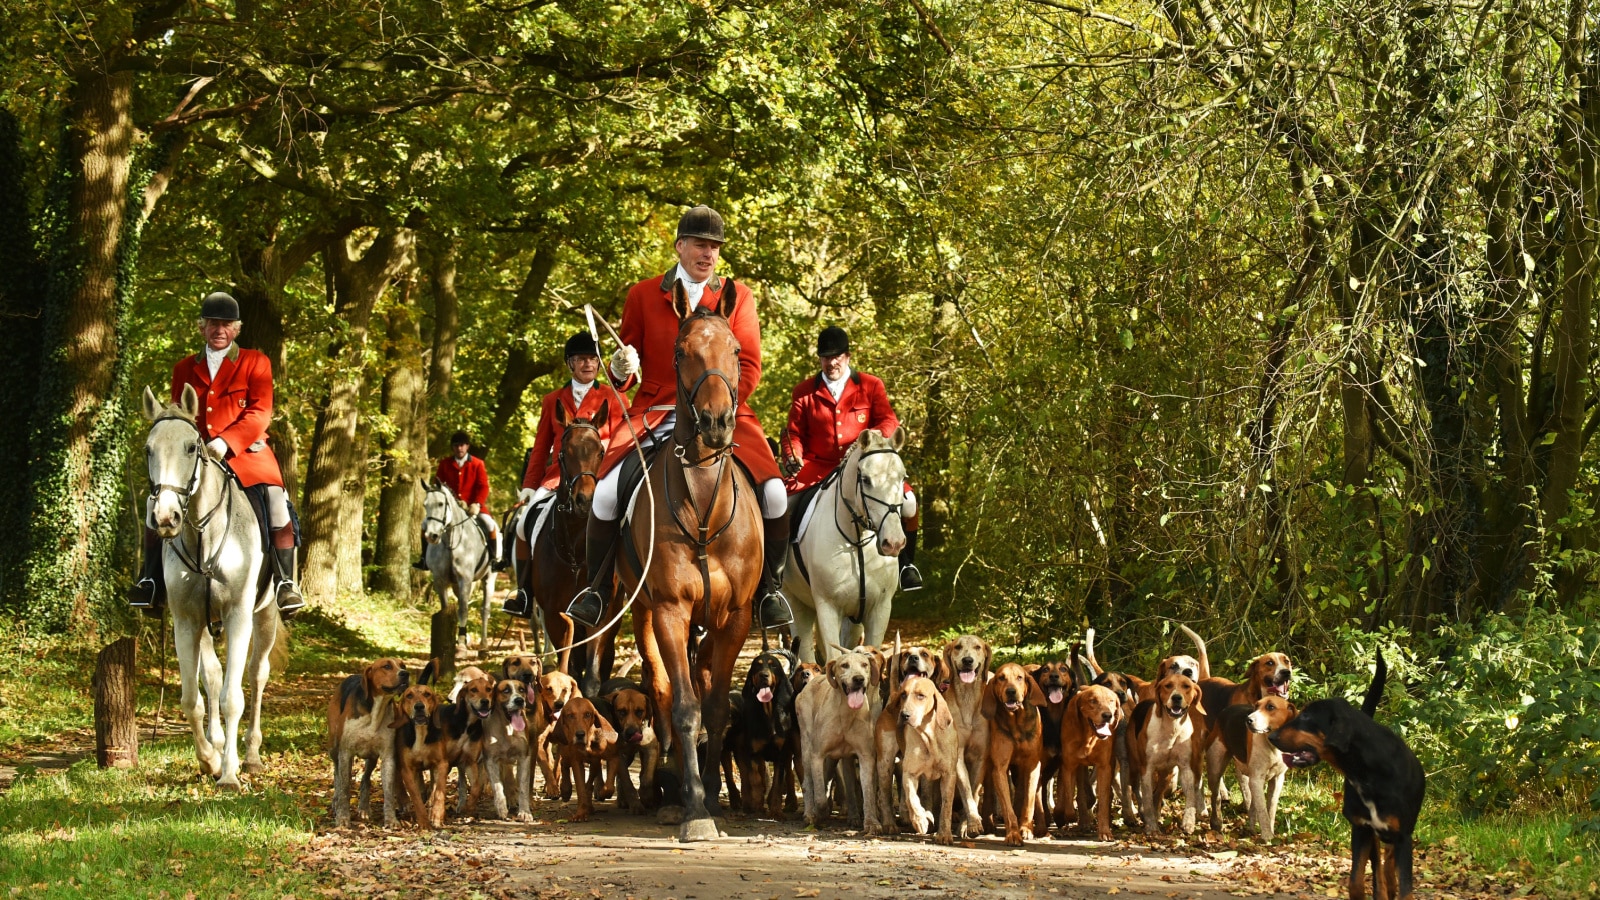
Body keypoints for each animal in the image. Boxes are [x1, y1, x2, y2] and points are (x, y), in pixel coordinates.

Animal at [142, 381, 283, 787]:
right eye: (148, 449)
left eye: (192, 447)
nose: (165, 517)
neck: (204, 535)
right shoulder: (186, 620)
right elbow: (194, 698)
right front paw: (209, 759)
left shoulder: (238, 616)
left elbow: (233, 698)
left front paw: (230, 773)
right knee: (214, 677)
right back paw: (219, 747)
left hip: (265, 616)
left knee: (256, 675)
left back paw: (250, 755)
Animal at [422, 480, 496, 656]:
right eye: (425, 505)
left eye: (441, 504)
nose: (431, 536)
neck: (450, 540)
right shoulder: (440, 580)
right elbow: (446, 609)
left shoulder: (465, 579)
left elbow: (462, 610)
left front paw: (461, 646)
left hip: (488, 579)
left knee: (484, 610)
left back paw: (483, 646)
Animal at [617, 277, 761, 839]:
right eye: (681, 353)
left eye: (737, 351)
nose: (717, 423)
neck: (702, 502)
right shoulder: (671, 610)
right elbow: (682, 707)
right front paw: (695, 808)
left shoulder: (735, 617)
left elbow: (716, 706)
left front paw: (715, 797)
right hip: (642, 614)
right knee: (659, 689)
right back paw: (669, 788)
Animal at [790, 425, 915, 659]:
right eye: (865, 479)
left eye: (902, 477)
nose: (893, 543)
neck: (858, 542)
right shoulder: (828, 608)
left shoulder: (878, 609)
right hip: (796, 602)